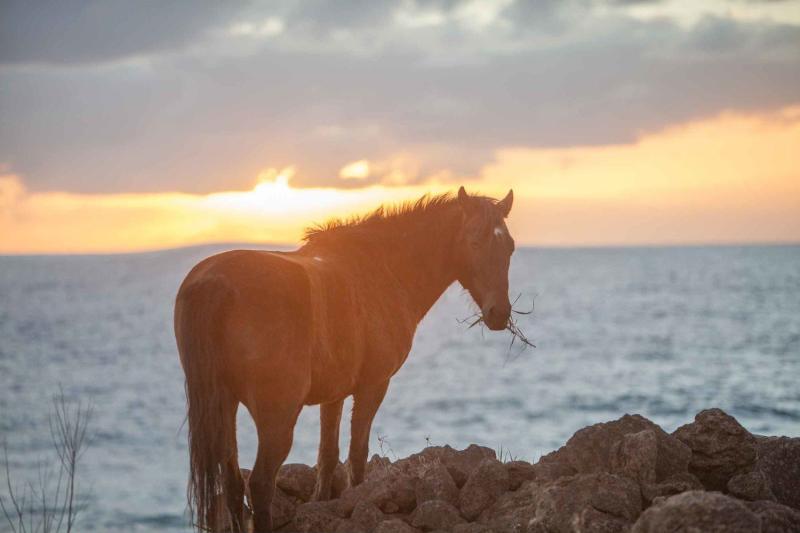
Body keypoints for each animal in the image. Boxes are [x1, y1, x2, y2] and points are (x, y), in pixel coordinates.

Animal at [174, 186, 515, 532]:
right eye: (474, 242)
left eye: (510, 247)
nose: (499, 314)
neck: (384, 269)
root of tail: (214, 284)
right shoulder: (373, 385)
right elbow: (356, 454)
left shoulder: (333, 394)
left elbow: (328, 455)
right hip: (277, 416)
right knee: (259, 484)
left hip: (224, 405)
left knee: (232, 482)